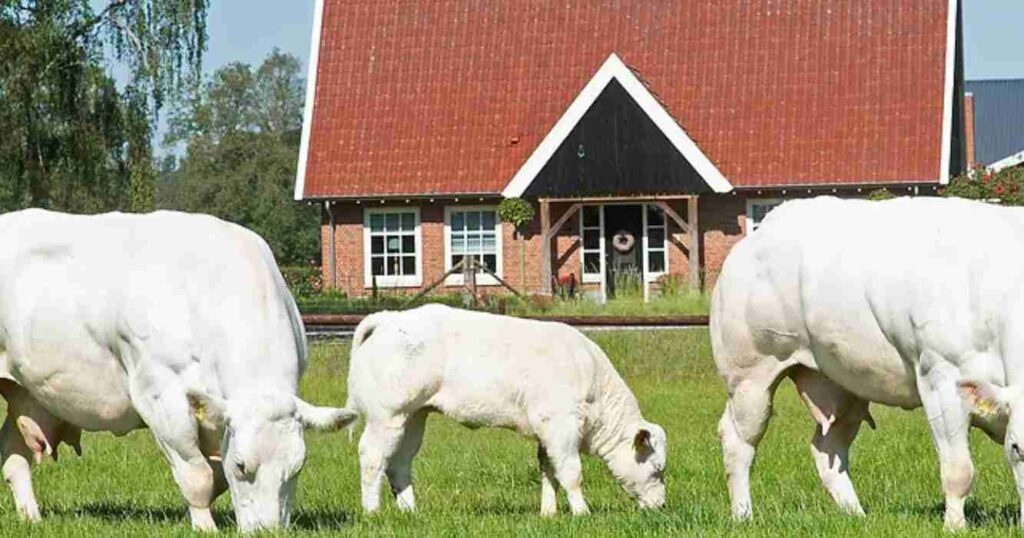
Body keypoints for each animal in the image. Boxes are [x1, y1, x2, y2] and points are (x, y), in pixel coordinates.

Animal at [0, 208, 356, 528]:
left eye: (297, 468)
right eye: (242, 465)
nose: (268, 531)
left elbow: (216, 476)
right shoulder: (160, 395)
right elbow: (197, 475)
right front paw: (205, 527)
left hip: (25, 393)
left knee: (13, 457)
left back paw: (32, 518)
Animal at [346, 303, 663, 514]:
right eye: (657, 469)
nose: (660, 506)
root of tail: (390, 318)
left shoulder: (546, 433)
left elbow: (549, 471)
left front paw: (548, 514)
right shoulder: (561, 425)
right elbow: (571, 472)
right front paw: (581, 513)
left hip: (413, 416)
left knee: (399, 462)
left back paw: (411, 512)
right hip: (386, 415)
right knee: (372, 456)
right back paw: (372, 512)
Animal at [712, 195, 1024, 528]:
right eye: (1017, 447)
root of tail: (761, 232)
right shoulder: (941, 380)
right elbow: (958, 470)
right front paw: (954, 527)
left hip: (844, 388)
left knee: (827, 449)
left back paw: (856, 515)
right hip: (749, 376)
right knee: (738, 442)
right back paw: (743, 515)